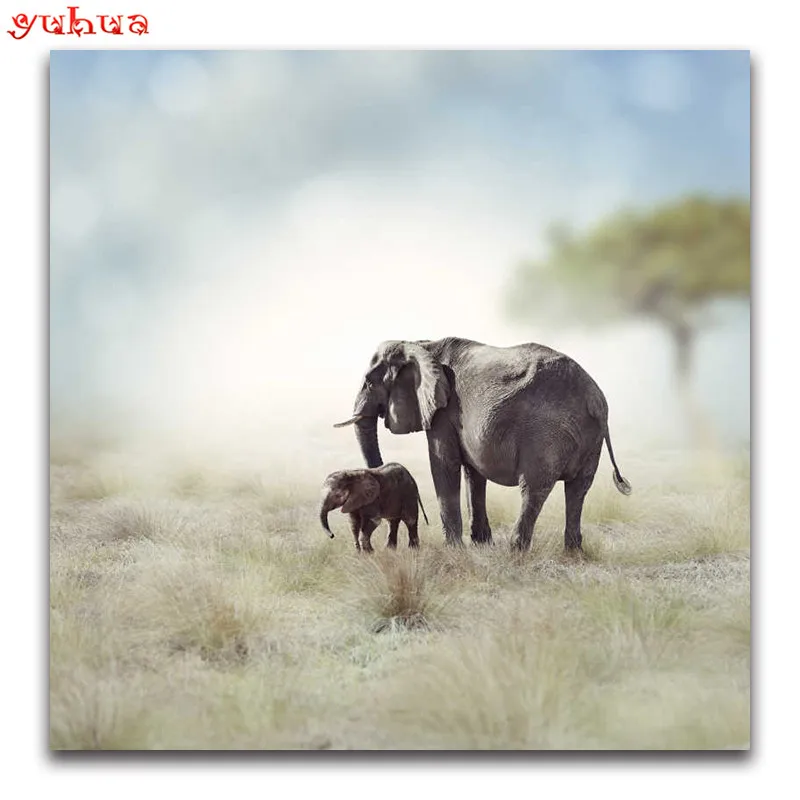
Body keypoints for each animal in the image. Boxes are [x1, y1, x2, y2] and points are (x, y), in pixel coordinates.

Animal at [334, 337, 631, 551]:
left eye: (369, 383)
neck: (420, 345)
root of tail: (595, 399)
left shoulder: (443, 411)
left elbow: (444, 465)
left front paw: (454, 549)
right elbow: (473, 474)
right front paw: (480, 544)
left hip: (547, 432)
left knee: (535, 488)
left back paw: (516, 551)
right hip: (590, 438)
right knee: (578, 489)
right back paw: (573, 553)